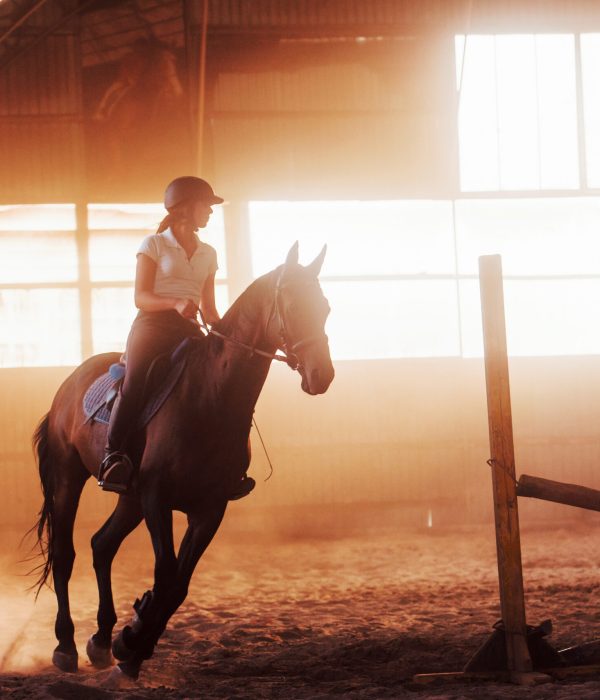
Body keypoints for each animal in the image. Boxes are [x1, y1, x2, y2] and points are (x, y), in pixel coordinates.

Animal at [31, 242, 334, 684]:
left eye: (325, 307)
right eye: (293, 304)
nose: (322, 375)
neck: (211, 397)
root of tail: (69, 384)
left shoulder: (208, 509)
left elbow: (178, 585)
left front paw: (131, 646)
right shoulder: (158, 499)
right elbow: (166, 573)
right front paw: (132, 641)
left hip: (130, 499)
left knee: (102, 545)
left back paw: (101, 640)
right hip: (69, 479)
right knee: (65, 553)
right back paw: (66, 646)